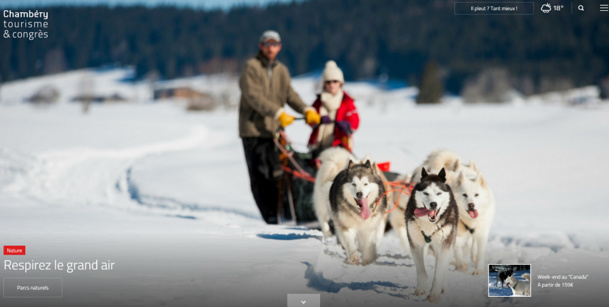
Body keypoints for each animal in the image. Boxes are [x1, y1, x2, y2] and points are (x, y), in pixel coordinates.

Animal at [406, 168, 458, 304]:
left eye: (439, 193)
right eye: (426, 193)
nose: (433, 204)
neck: (429, 224)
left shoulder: (444, 246)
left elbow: (439, 273)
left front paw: (434, 295)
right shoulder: (416, 244)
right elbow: (421, 271)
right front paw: (420, 289)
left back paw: (443, 287)